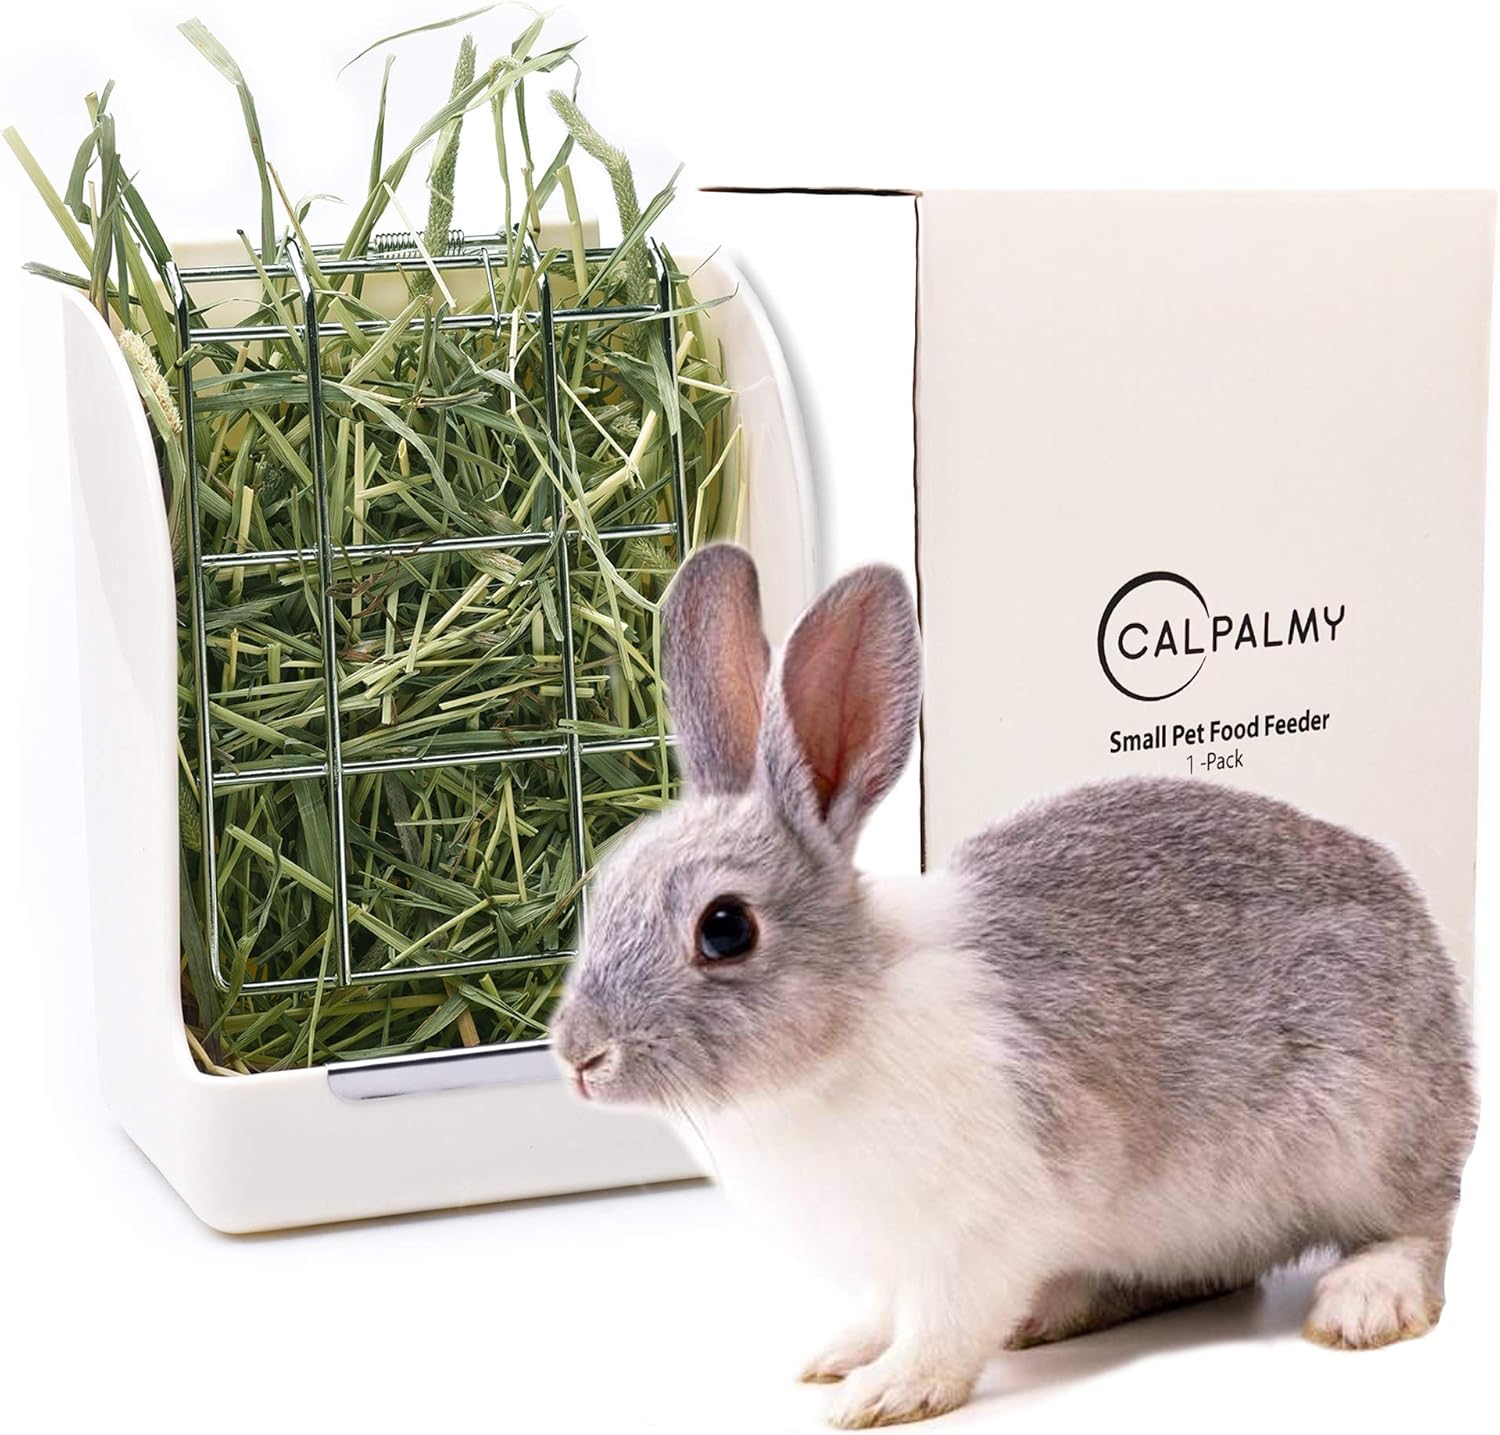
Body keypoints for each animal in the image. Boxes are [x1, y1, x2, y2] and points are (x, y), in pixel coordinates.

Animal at [552, 543, 1477, 1428]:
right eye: (607, 885)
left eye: (725, 928)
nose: (576, 1055)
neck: (845, 1030)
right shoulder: (897, 1260)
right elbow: (885, 1311)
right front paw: (840, 1352)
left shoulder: (977, 1234)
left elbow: (943, 1329)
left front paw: (883, 1395)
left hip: (1367, 1136)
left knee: (1423, 1228)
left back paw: (1364, 1302)